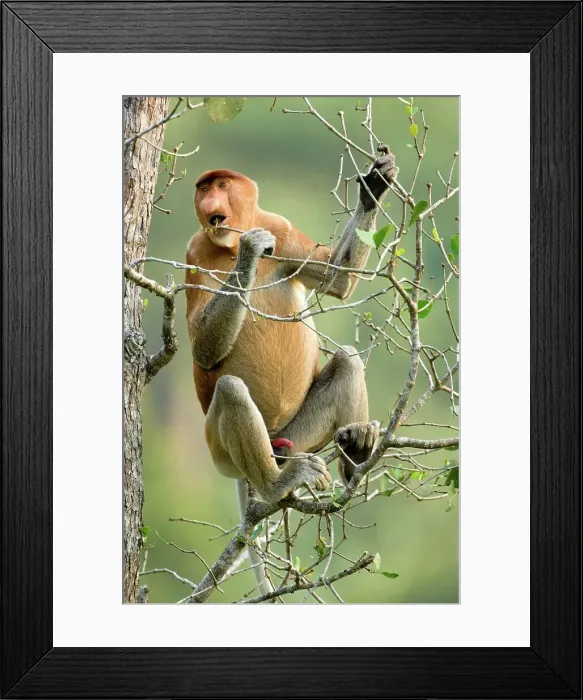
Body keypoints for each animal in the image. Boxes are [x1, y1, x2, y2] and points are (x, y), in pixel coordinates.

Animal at [185, 150, 397, 513]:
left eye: (222, 185)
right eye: (204, 189)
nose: (209, 200)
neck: (227, 247)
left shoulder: (281, 229)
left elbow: (335, 278)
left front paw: (374, 187)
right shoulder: (194, 251)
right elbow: (201, 347)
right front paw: (251, 250)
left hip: (298, 435)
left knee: (348, 360)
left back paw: (355, 453)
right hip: (219, 452)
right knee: (229, 389)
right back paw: (276, 485)